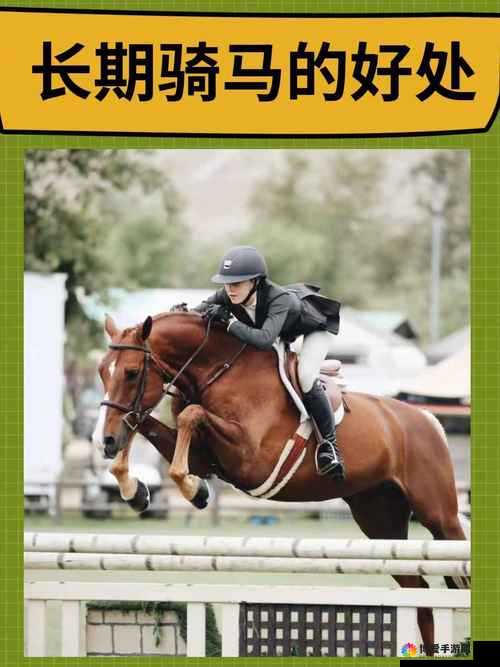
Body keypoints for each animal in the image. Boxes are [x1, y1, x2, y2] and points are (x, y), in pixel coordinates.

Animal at [93, 310, 470, 656]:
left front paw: (193, 490)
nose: (105, 441)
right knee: (419, 593)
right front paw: (136, 490)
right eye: (101, 371)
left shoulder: (251, 459)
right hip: (380, 520)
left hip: (439, 516)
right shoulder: (204, 457)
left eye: (132, 372)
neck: (220, 371)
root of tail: (427, 418)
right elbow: (143, 421)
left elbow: (190, 416)